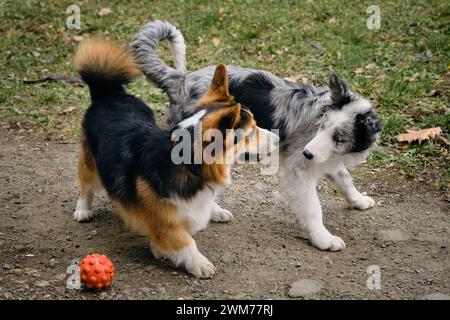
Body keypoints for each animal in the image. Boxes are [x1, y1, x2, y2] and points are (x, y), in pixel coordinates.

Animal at [73, 38, 276, 278]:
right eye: (251, 131)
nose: (277, 139)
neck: (189, 166)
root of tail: (108, 93)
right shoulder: (164, 224)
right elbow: (186, 242)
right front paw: (200, 264)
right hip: (90, 163)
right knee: (86, 185)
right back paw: (83, 210)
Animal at [129, 20, 380, 251]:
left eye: (339, 138)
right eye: (322, 126)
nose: (307, 153)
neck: (319, 113)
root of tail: (180, 80)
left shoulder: (326, 157)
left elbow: (345, 178)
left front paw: (358, 200)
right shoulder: (299, 170)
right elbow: (313, 208)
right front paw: (324, 239)